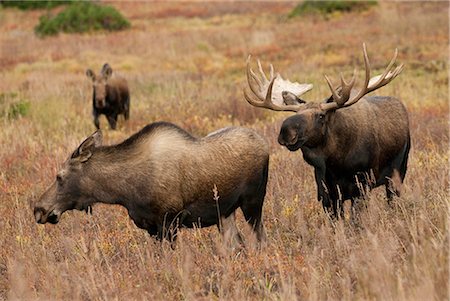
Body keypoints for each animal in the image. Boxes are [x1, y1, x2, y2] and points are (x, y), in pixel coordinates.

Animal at [34, 120, 270, 245]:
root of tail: (265, 144)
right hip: (225, 212)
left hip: (253, 203)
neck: (123, 192)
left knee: (259, 240)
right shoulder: (151, 227)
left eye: (59, 176)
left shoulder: (170, 221)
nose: (39, 209)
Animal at [244, 43, 410, 217]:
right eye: (295, 113)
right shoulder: (326, 193)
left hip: (398, 173)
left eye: (321, 116)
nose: (286, 131)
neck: (335, 164)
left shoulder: (361, 187)